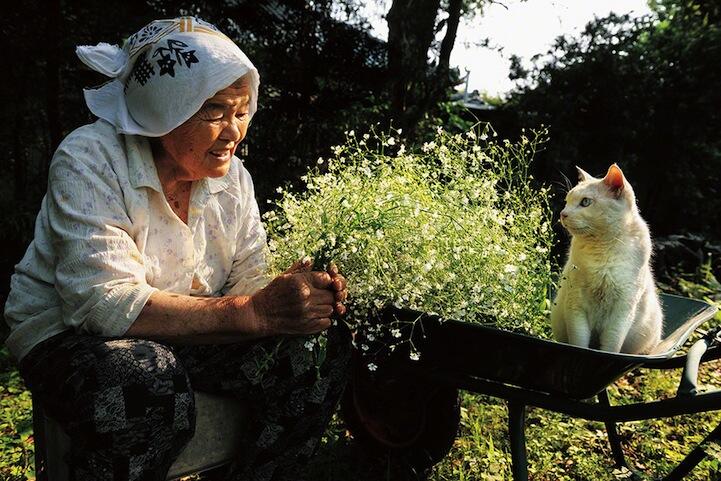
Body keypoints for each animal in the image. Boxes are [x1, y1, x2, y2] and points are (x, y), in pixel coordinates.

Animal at [552, 164, 664, 352]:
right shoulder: (576, 305)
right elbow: (579, 342)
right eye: (567, 201)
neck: (602, 252)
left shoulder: (623, 310)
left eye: (585, 202)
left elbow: (611, 346)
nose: (562, 214)